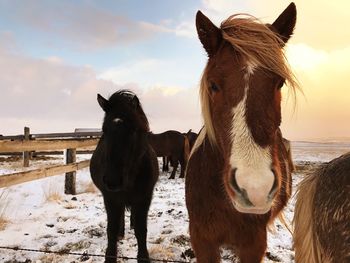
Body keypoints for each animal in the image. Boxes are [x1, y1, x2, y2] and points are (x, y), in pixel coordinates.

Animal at [89, 90, 158, 262]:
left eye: (133, 130)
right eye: (104, 130)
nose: (112, 180)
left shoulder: (144, 198)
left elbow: (141, 230)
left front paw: (143, 256)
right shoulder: (110, 198)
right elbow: (111, 230)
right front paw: (110, 256)